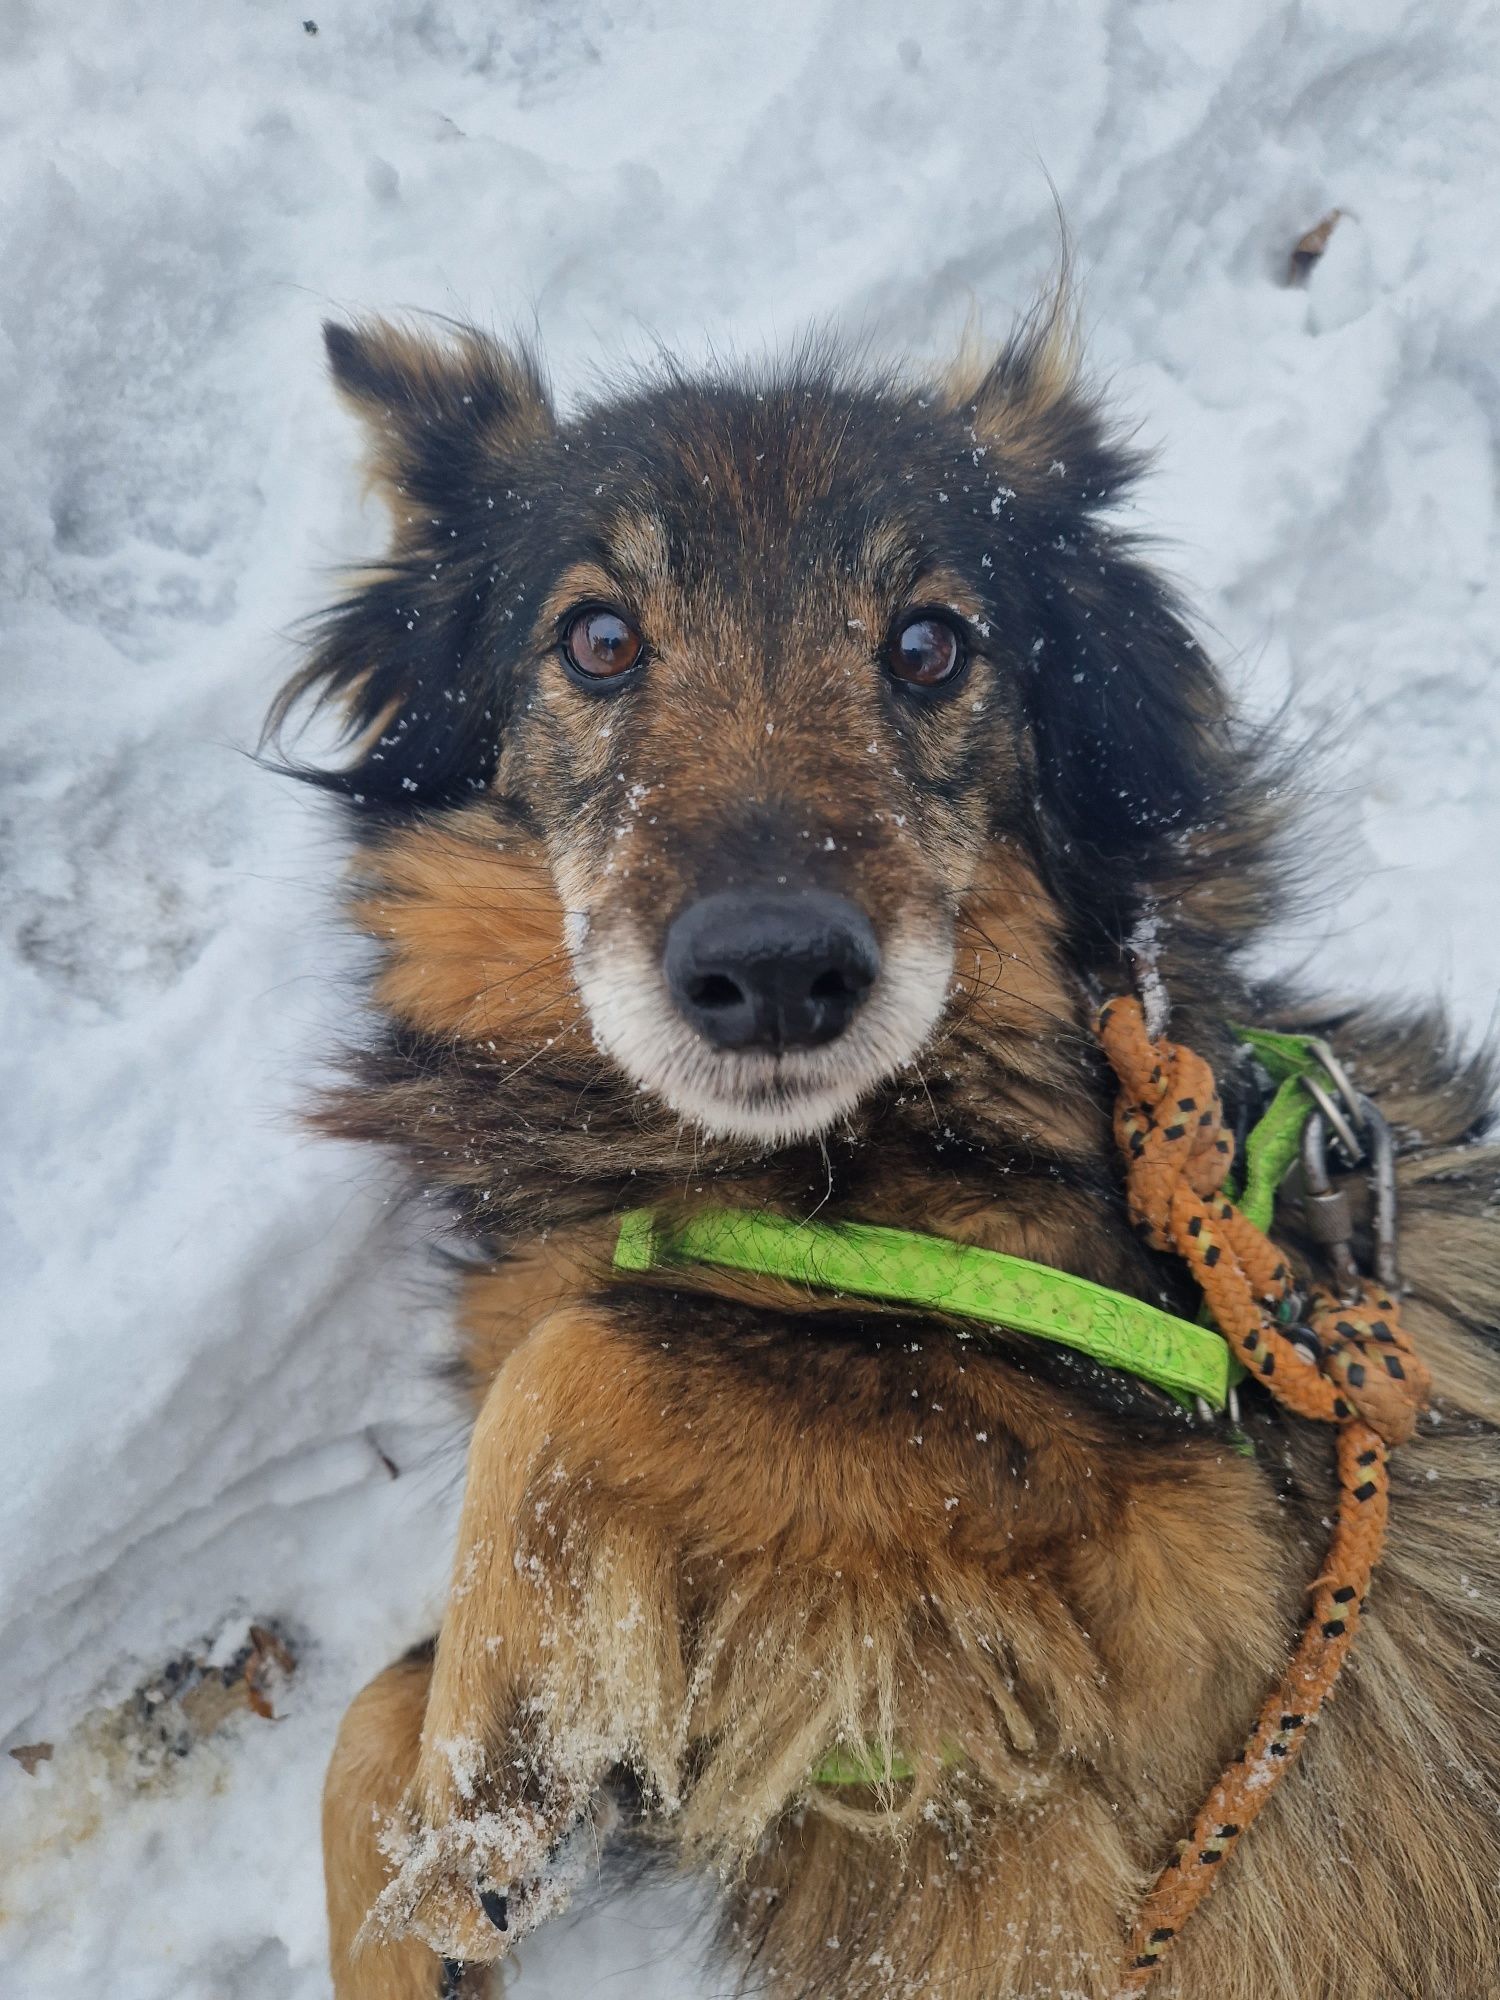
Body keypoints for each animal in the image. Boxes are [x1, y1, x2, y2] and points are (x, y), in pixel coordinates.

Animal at [280, 300, 1500, 2000]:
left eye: (929, 646)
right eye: (599, 640)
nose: (775, 968)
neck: (803, 1176)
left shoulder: (1208, 1579)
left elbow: (593, 1358)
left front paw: (470, 1800)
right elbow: (376, 1709)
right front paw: (441, 1871)